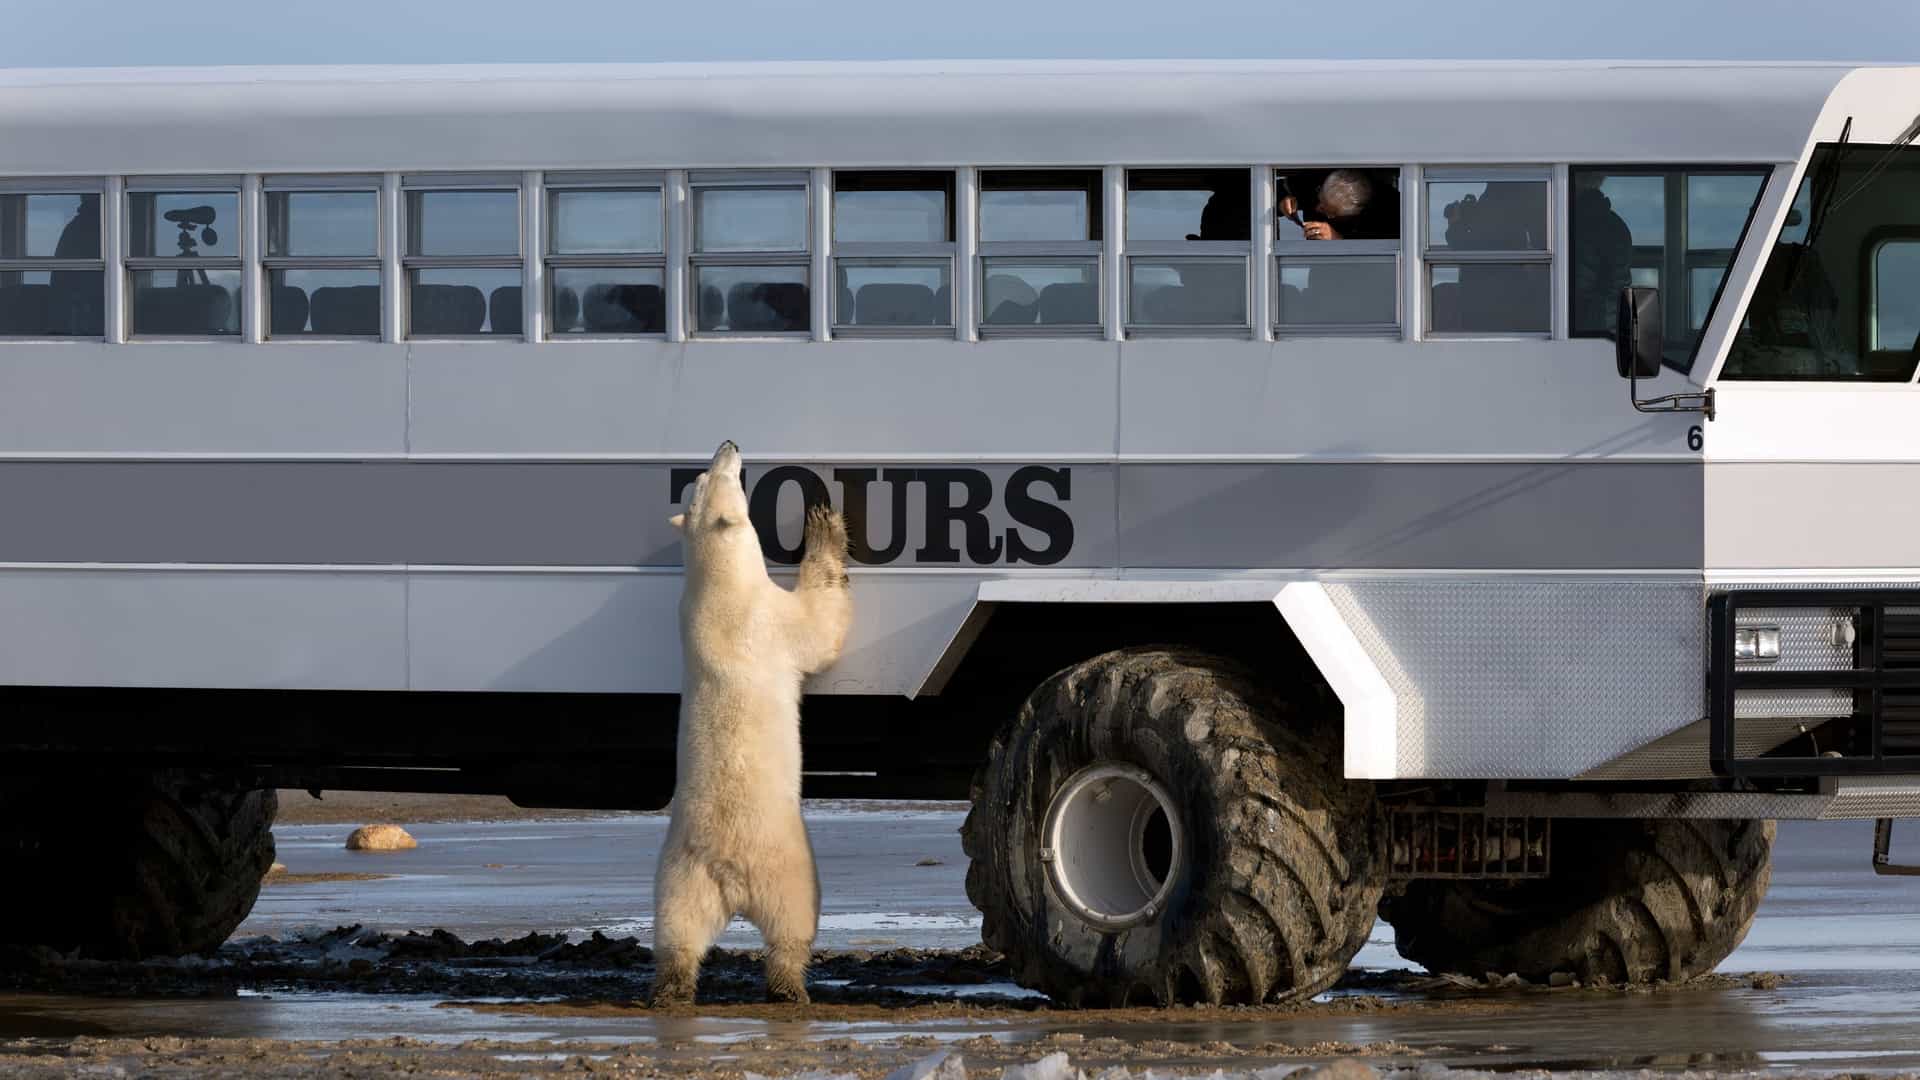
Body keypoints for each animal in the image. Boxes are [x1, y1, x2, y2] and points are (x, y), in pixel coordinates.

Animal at [650, 439, 852, 1006]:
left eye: (699, 477)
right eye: (717, 476)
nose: (730, 444)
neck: (716, 585)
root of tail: (729, 873)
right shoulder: (766, 619)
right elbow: (819, 626)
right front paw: (823, 523)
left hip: (680, 876)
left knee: (677, 931)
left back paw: (671, 988)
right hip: (784, 863)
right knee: (793, 922)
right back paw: (789, 987)